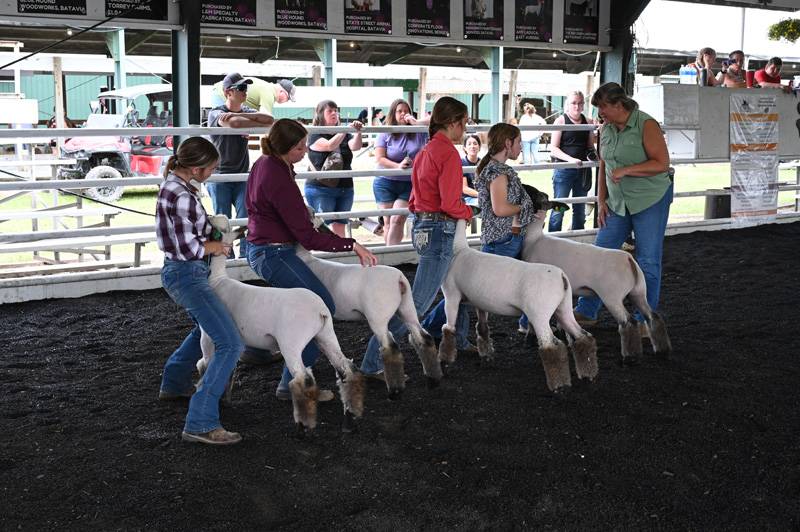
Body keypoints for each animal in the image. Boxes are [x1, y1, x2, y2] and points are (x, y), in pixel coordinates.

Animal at [198, 214, 366, 434]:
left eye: (217, 227)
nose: (207, 215)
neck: (218, 280)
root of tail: (320, 310)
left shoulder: (207, 335)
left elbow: (204, 363)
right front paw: (225, 396)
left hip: (291, 343)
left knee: (304, 379)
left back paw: (304, 425)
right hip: (326, 335)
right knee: (346, 368)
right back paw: (350, 418)